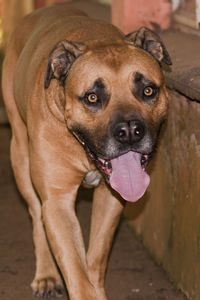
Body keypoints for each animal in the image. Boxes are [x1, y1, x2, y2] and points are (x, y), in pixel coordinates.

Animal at [1, 2, 170, 300]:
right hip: (20, 157)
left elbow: (95, 258)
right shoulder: (57, 200)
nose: (129, 131)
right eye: (92, 97)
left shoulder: (112, 197)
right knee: (36, 215)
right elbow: (75, 268)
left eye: (148, 90)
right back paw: (46, 275)